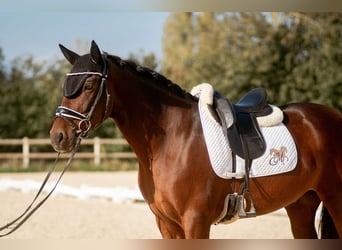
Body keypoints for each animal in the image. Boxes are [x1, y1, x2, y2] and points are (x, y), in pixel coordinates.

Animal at [48, 40, 342, 238]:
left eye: (88, 85)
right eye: (65, 85)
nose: (58, 136)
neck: (171, 141)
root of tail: (332, 116)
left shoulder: (195, 222)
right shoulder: (166, 223)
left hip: (333, 198)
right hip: (301, 205)